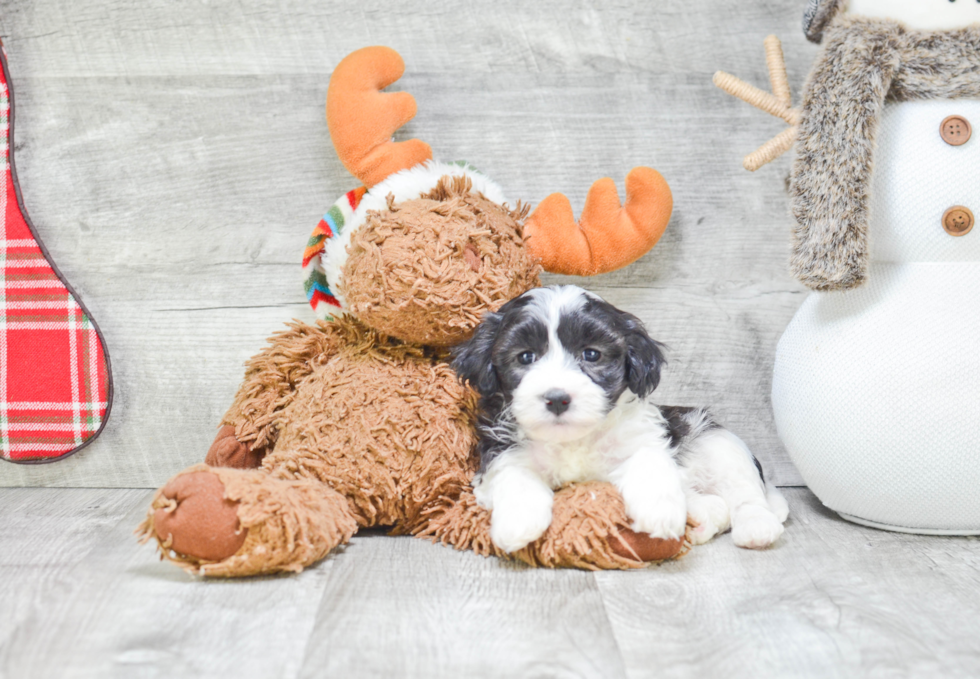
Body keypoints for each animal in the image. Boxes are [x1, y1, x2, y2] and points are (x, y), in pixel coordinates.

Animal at [454, 284, 788, 556]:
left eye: (591, 354)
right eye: (525, 357)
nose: (558, 398)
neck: (574, 438)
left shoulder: (642, 437)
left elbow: (648, 461)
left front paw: (659, 512)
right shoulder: (500, 451)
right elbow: (514, 475)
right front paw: (518, 522)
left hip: (716, 442)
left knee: (744, 493)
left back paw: (756, 527)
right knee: (719, 507)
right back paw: (700, 520)